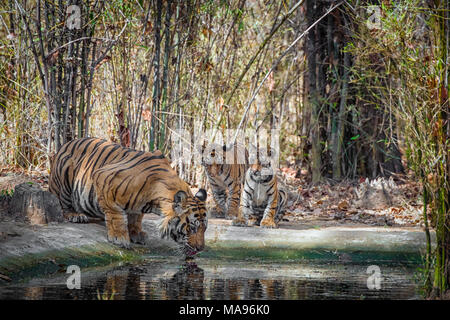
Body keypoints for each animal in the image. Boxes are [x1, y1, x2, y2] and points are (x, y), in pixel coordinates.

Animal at [50, 138, 208, 255]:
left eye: (204, 229)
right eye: (192, 228)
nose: (201, 249)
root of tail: (64, 146)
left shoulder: (138, 205)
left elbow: (135, 217)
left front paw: (136, 233)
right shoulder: (103, 177)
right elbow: (116, 214)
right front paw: (119, 237)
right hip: (65, 176)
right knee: (63, 205)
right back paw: (76, 215)